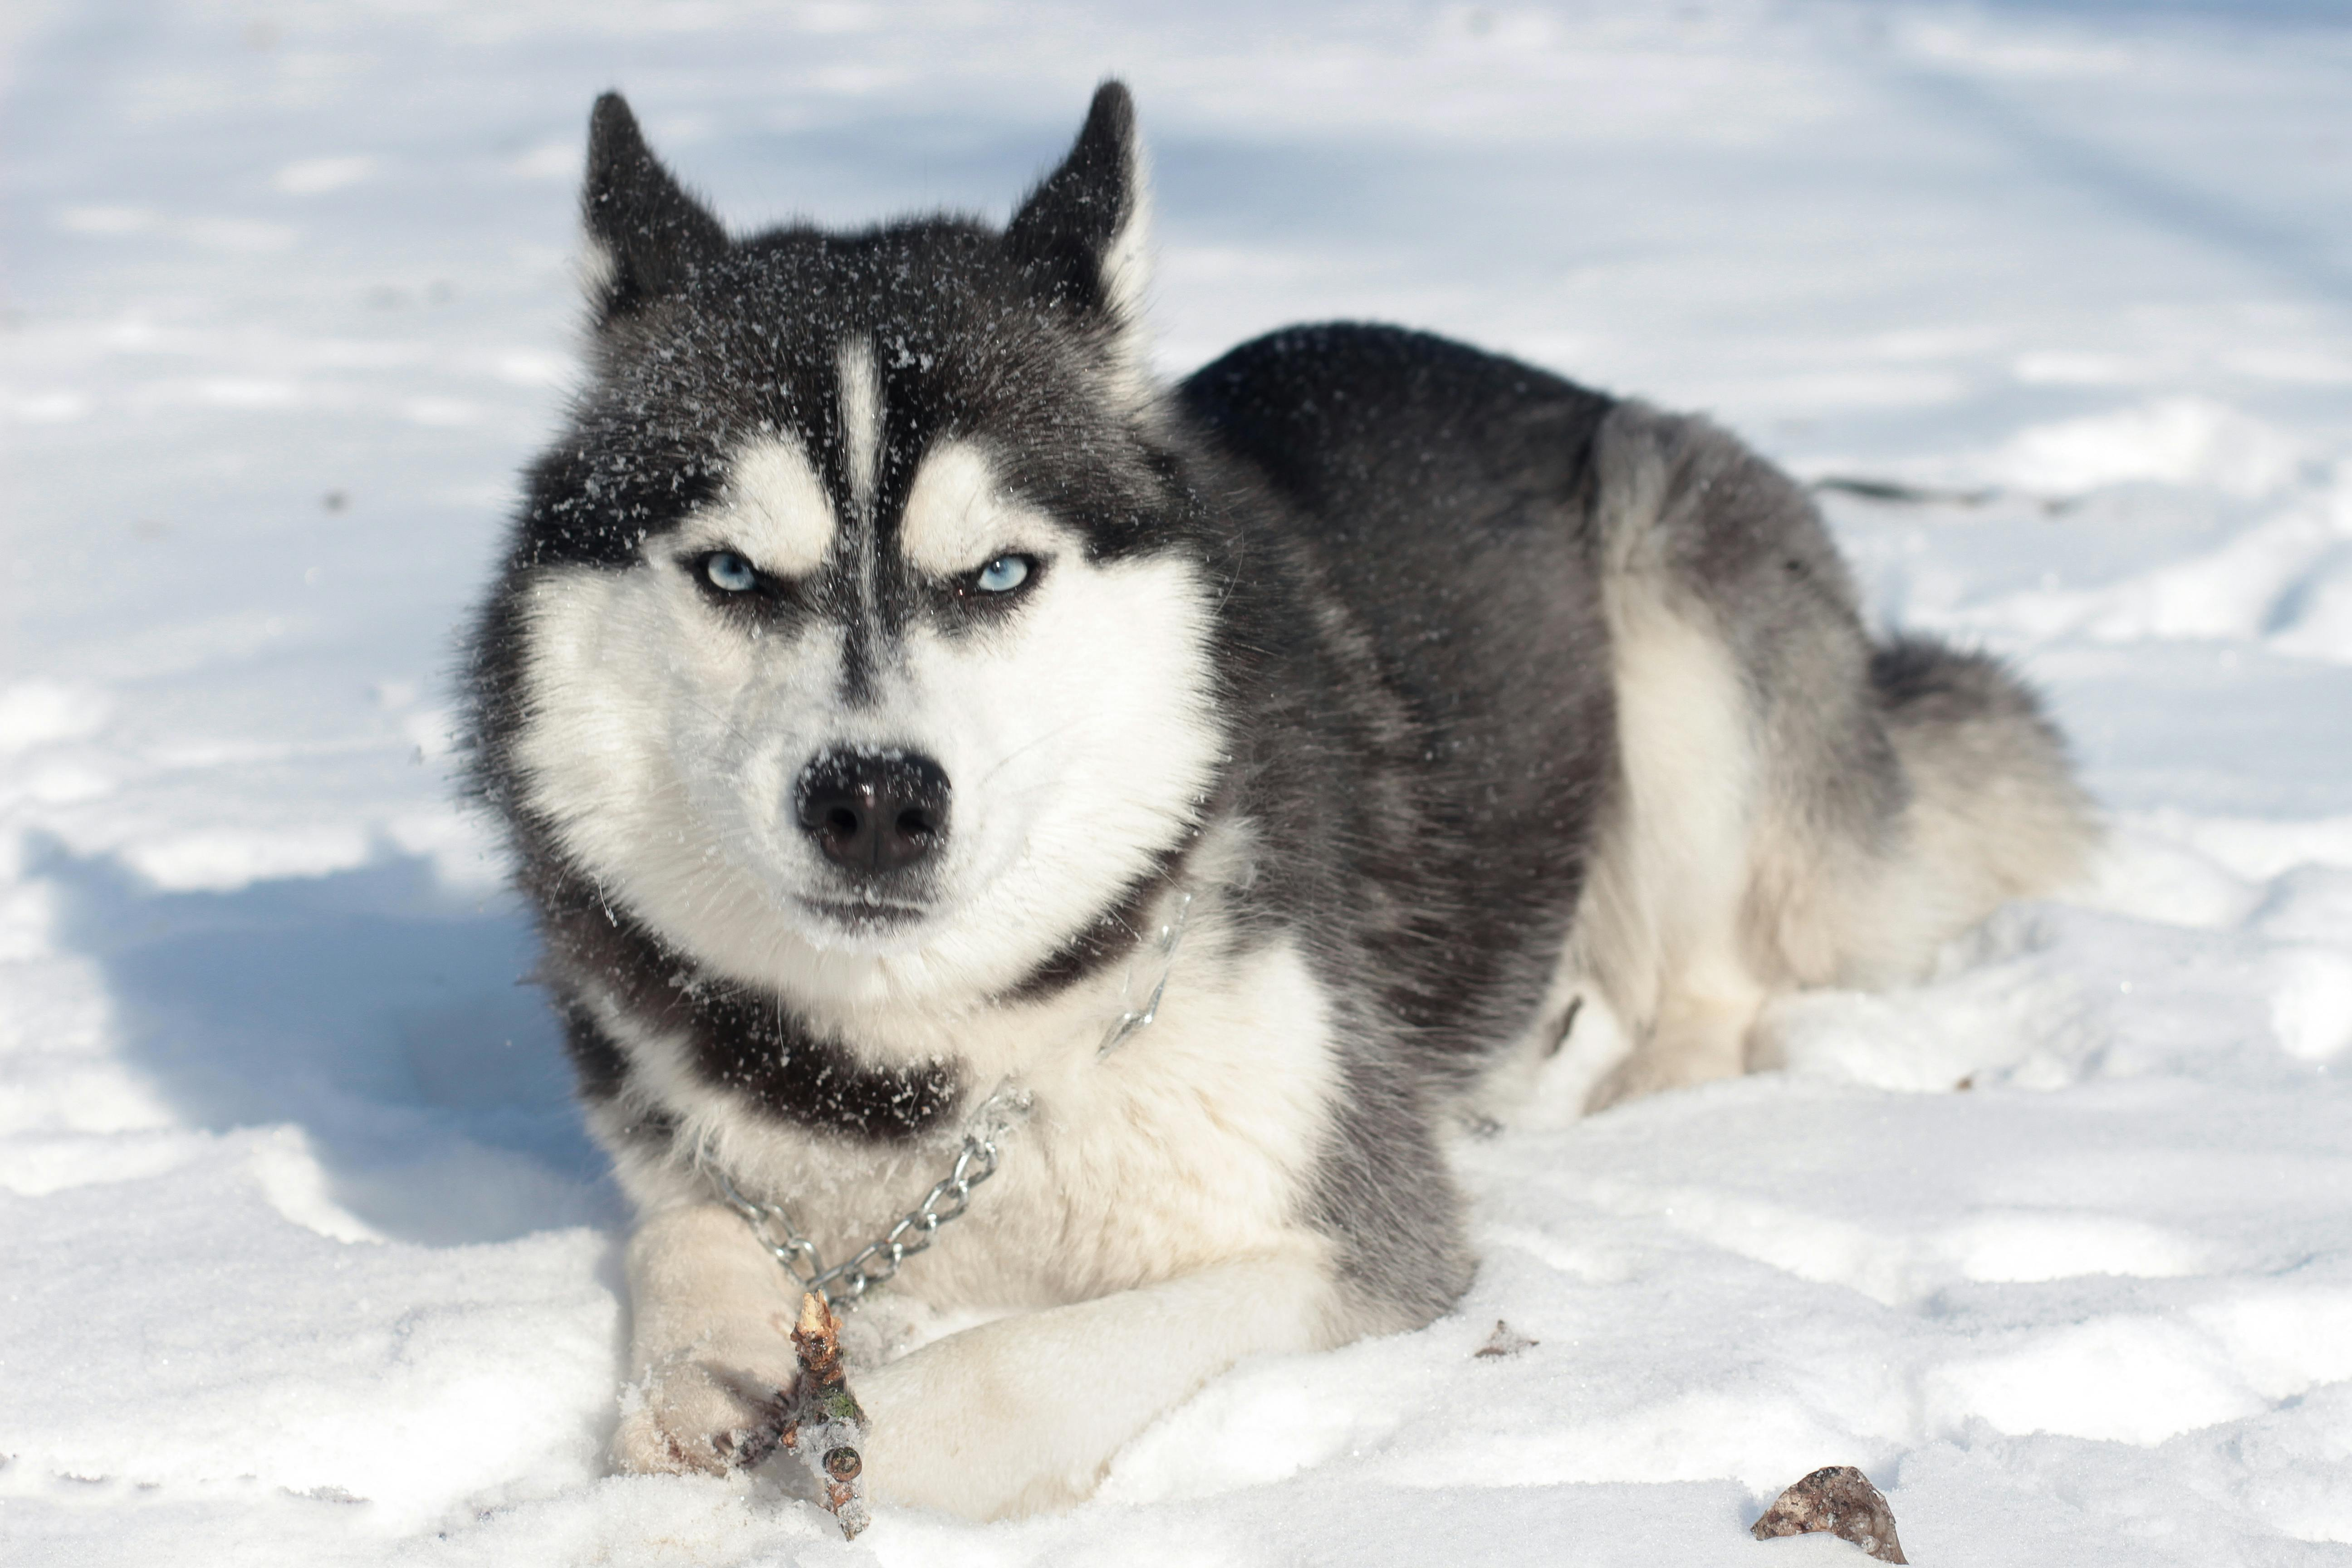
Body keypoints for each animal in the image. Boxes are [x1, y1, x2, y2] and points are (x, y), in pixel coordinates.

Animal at [463, 80, 2098, 1514]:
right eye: (735, 572)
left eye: (999, 571)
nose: (873, 800)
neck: (919, 1075)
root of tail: (1560, 384)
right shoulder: (693, 1148)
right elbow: (684, 1238)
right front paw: (699, 1372)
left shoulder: (1359, 1249)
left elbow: (1023, 1363)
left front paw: (880, 1428)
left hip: (1668, 574)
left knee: (1715, 975)